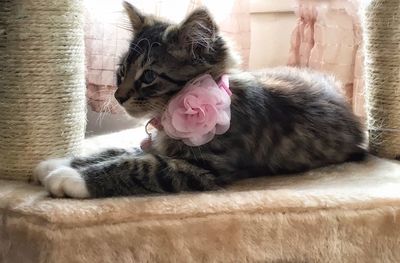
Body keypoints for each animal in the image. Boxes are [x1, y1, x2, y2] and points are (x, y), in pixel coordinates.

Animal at [33, 3, 366, 199]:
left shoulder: (204, 167)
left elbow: (135, 165)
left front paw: (71, 178)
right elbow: (115, 150)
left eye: (149, 76)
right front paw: (57, 162)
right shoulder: (159, 144)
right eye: (122, 71)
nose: (118, 95)